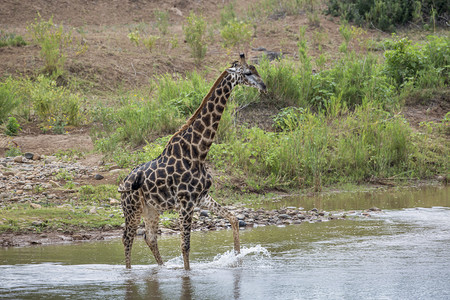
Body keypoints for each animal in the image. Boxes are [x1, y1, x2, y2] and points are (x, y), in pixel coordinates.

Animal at [118, 53, 268, 270]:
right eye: (248, 72)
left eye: (256, 70)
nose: (264, 86)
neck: (199, 151)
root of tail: (122, 183)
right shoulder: (186, 202)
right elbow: (185, 246)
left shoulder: (201, 197)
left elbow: (233, 219)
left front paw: (238, 258)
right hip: (132, 208)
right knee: (128, 238)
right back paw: (129, 272)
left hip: (151, 209)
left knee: (150, 238)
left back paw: (162, 268)